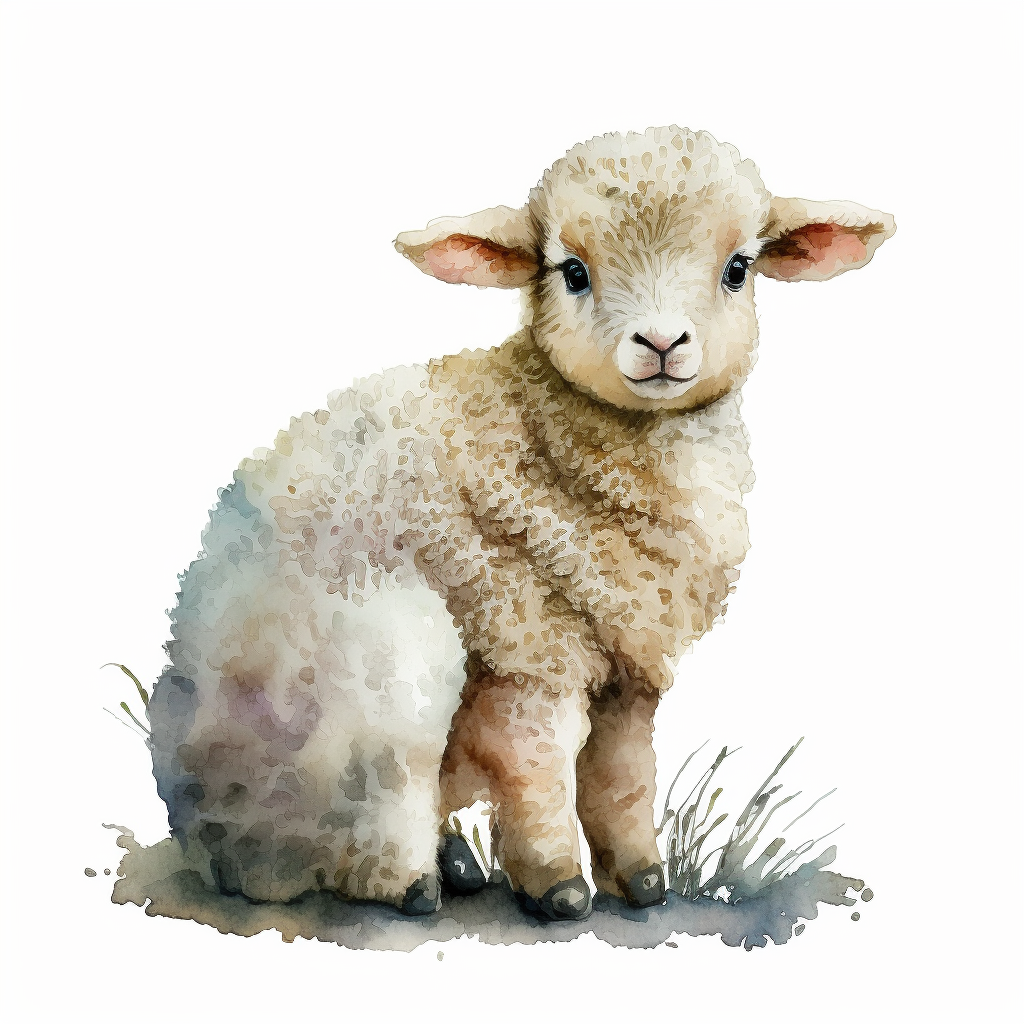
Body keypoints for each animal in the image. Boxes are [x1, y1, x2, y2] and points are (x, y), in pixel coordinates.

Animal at [147, 126, 894, 921]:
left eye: (739, 269)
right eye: (571, 271)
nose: (662, 344)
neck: (543, 424)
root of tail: (198, 818)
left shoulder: (627, 665)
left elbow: (623, 775)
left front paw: (644, 881)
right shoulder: (526, 644)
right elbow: (536, 766)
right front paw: (559, 883)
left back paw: (453, 863)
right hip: (385, 659)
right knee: (362, 804)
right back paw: (408, 879)